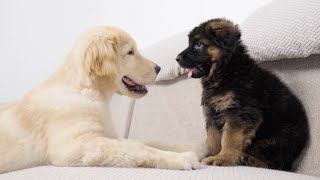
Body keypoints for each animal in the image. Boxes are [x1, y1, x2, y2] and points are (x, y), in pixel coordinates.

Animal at [0, 26, 200, 173]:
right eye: (130, 52)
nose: (158, 68)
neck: (87, 91)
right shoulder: (74, 146)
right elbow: (138, 147)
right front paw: (181, 158)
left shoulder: (108, 135)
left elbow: (143, 142)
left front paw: (189, 148)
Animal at [176, 18, 308, 172]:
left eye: (198, 44)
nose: (177, 59)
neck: (226, 71)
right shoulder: (212, 114)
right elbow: (213, 139)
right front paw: (212, 155)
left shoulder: (240, 113)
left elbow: (229, 138)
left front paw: (223, 158)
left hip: (278, 139)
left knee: (278, 164)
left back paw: (250, 160)